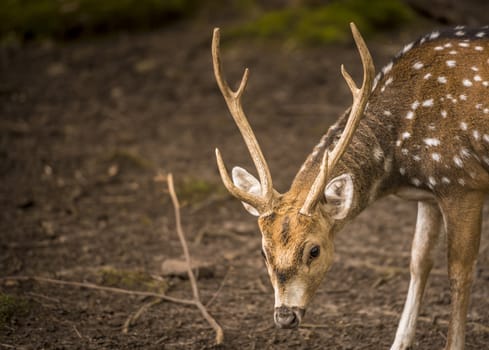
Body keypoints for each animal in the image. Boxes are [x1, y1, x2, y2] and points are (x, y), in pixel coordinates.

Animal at [210, 22, 488, 350]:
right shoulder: (429, 194)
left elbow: (459, 271)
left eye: (314, 250)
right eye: (263, 252)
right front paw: (398, 343)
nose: (285, 317)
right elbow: (418, 261)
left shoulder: (462, 182)